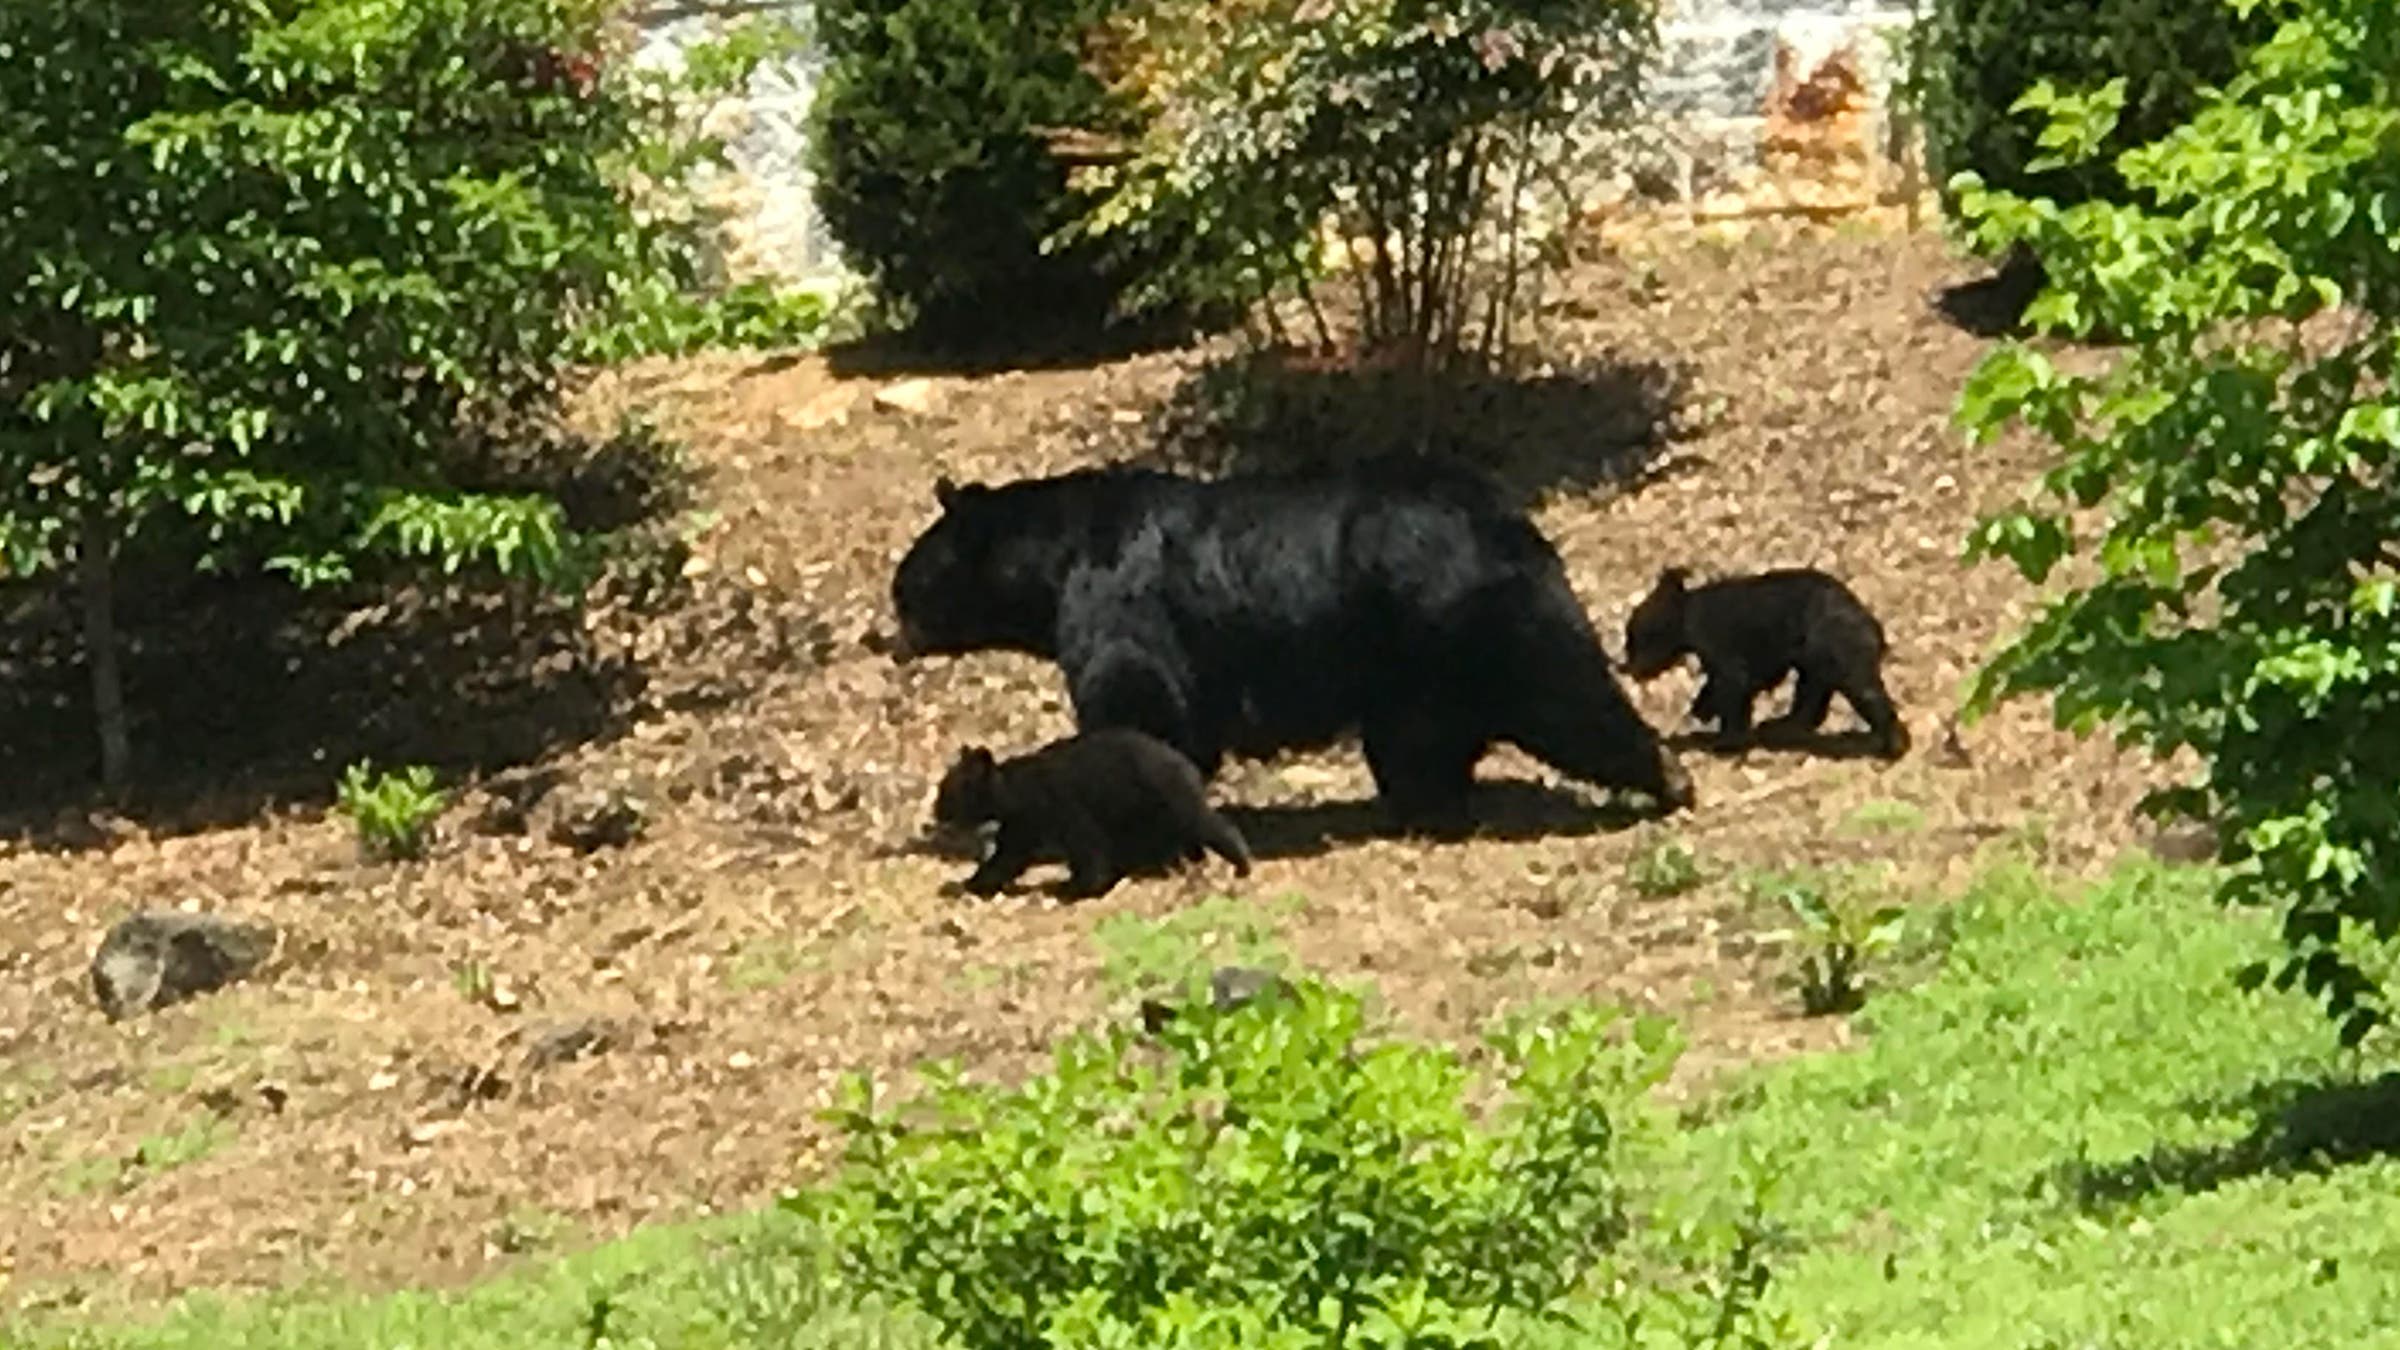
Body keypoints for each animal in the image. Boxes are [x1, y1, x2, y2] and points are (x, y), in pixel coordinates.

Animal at [889, 457, 1694, 834]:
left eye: (906, 588)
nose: (881, 636)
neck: (1053, 562)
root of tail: (1512, 520)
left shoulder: (1118, 606)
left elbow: (1135, 696)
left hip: (1473, 617)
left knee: (1564, 694)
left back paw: (1667, 776)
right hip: (1411, 663)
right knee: (1418, 741)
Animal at [929, 727, 1254, 900]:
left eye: (947, 791)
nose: (935, 812)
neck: (1014, 794)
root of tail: (1182, 760)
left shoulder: (1060, 807)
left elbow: (1087, 848)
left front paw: (1076, 887)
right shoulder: (1023, 826)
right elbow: (1008, 857)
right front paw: (973, 882)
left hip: (1164, 795)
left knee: (1205, 823)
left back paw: (1239, 862)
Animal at [1619, 565, 1909, 760]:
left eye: (1635, 639)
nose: (1627, 668)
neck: (1687, 616)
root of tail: (1873, 626)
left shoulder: (1723, 649)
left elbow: (1732, 690)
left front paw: (1724, 741)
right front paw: (1702, 711)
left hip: (1838, 649)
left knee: (1863, 692)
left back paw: (1891, 744)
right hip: (1817, 660)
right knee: (1811, 697)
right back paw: (1781, 727)